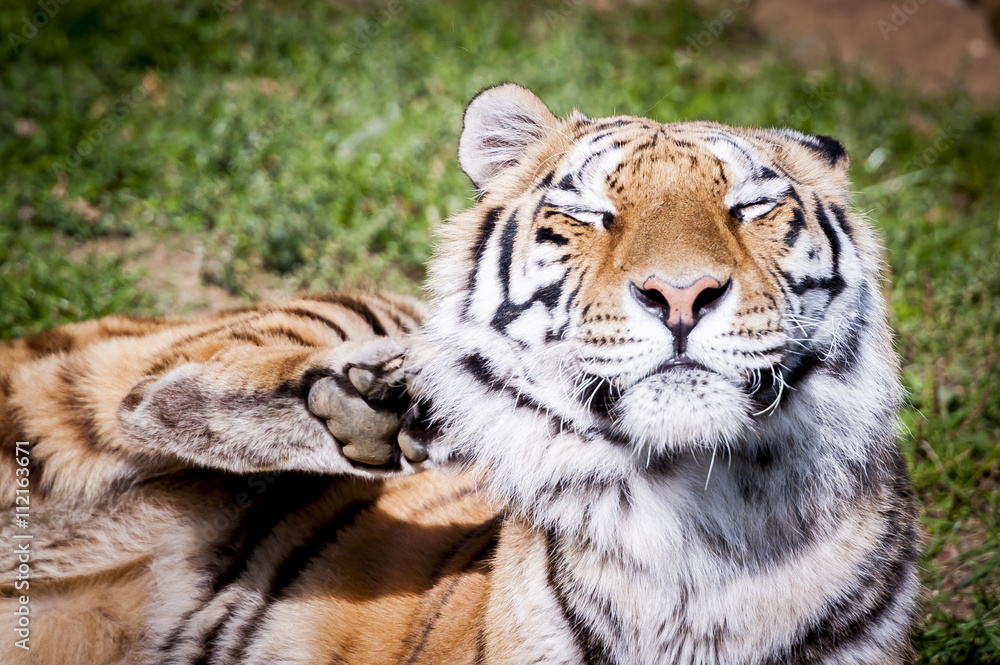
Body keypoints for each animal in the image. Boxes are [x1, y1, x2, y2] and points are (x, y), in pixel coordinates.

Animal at [0, 83, 919, 664]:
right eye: (591, 214)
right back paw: (395, 399)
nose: (682, 292)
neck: (703, 525)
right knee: (150, 389)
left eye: (751, 208)